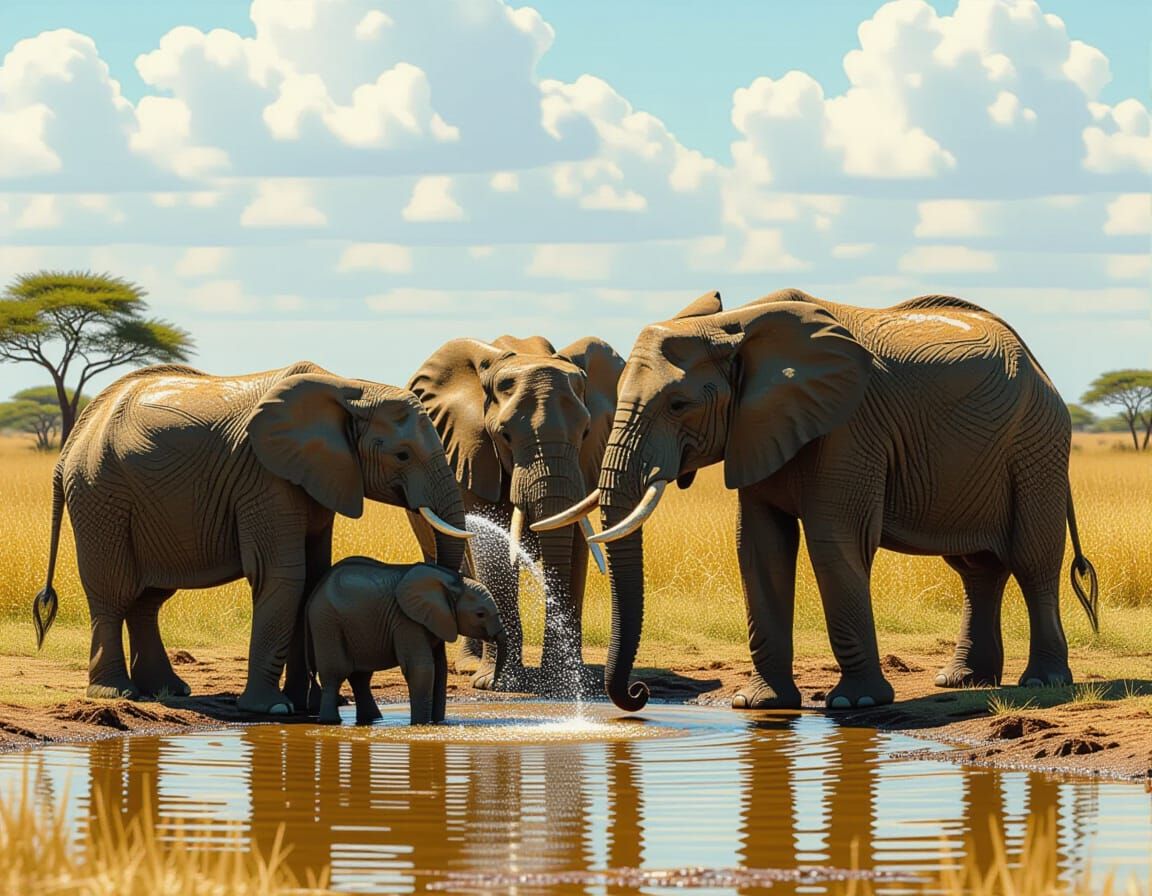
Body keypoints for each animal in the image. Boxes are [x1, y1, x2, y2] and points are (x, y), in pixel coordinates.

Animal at [33, 361, 472, 715]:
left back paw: (167, 690)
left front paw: (305, 705)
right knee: (113, 590)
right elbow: (284, 576)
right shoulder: (265, 476)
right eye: (402, 455)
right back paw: (116, 694)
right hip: (99, 493)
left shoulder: (317, 475)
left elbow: (313, 578)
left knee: (149, 597)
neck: (348, 387)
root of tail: (73, 439)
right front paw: (275, 708)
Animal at [306, 557, 506, 725]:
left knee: (360, 677)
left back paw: (372, 720)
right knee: (335, 673)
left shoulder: (435, 620)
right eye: (480, 614)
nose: (493, 684)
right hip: (326, 622)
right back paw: (331, 722)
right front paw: (420, 725)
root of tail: (314, 592)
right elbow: (422, 668)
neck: (449, 581)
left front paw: (436, 723)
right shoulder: (406, 621)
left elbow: (440, 668)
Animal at [407, 335, 624, 690]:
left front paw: (563, 681)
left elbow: (576, 547)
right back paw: (468, 667)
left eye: (586, 432)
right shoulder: (472, 450)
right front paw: (496, 684)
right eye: (504, 435)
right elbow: (490, 547)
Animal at [543, 290, 1098, 711]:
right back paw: (962, 681)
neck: (734, 326)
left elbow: (835, 542)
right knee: (975, 568)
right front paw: (759, 704)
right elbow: (759, 548)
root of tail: (1037, 363)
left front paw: (857, 704)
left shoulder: (849, 428)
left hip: (1038, 442)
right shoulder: (758, 428)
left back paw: (1042, 682)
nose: (637, 693)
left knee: (1032, 559)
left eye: (679, 405)